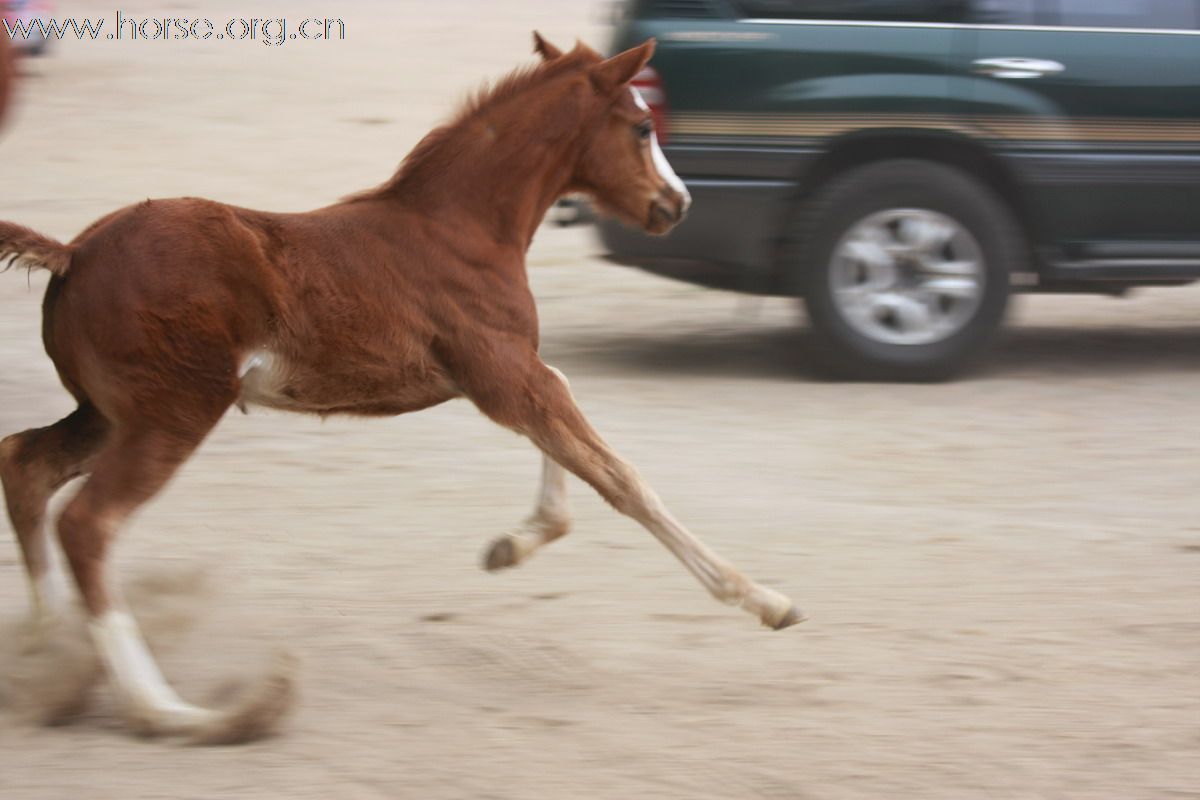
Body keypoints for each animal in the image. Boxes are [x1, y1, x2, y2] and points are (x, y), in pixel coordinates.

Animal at [2, 34, 806, 743]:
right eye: (641, 127)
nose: (677, 204)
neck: (459, 227)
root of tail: (74, 253)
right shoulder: (501, 372)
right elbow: (621, 477)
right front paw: (766, 600)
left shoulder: (508, 373)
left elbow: (571, 427)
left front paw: (512, 545)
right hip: (173, 415)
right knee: (89, 524)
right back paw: (169, 711)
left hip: (111, 414)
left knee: (26, 464)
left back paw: (45, 655)